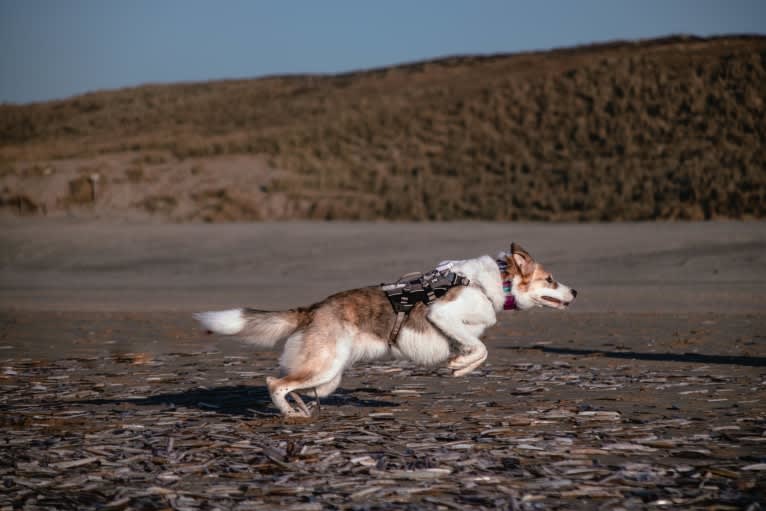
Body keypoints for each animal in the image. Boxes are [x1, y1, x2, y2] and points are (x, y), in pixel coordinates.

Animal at [195, 243, 580, 416]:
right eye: (550, 279)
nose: (575, 292)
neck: (497, 282)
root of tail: (313, 310)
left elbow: (475, 348)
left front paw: (460, 365)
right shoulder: (443, 314)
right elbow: (480, 349)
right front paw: (459, 366)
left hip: (327, 377)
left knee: (289, 384)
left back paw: (300, 409)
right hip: (324, 367)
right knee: (274, 383)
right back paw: (291, 414)